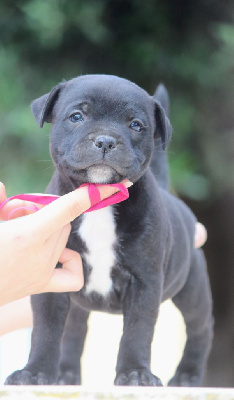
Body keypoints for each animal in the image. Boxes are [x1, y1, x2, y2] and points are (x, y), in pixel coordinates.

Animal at [5, 74, 214, 384]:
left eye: (136, 125)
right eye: (76, 117)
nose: (105, 140)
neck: (99, 200)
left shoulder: (144, 282)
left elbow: (137, 332)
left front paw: (136, 373)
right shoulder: (52, 278)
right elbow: (46, 330)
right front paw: (35, 372)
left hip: (191, 288)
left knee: (200, 327)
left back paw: (187, 376)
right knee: (74, 331)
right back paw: (66, 375)